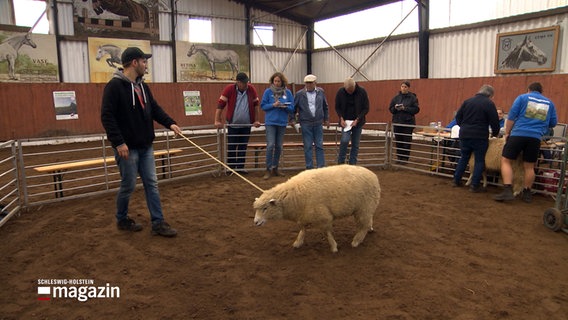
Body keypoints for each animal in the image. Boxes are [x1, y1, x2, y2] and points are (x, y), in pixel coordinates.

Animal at [254, 165, 382, 252]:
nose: (255, 222)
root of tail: (373, 175)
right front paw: (298, 242)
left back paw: (356, 241)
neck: (294, 194)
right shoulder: (304, 215)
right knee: (367, 222)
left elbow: (327, 232)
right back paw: (369, 229)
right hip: (366, 208)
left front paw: (334, 247)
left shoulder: (323, 216)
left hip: (365, 207)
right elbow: (302, 229)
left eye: (265, 208)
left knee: (363, 226)